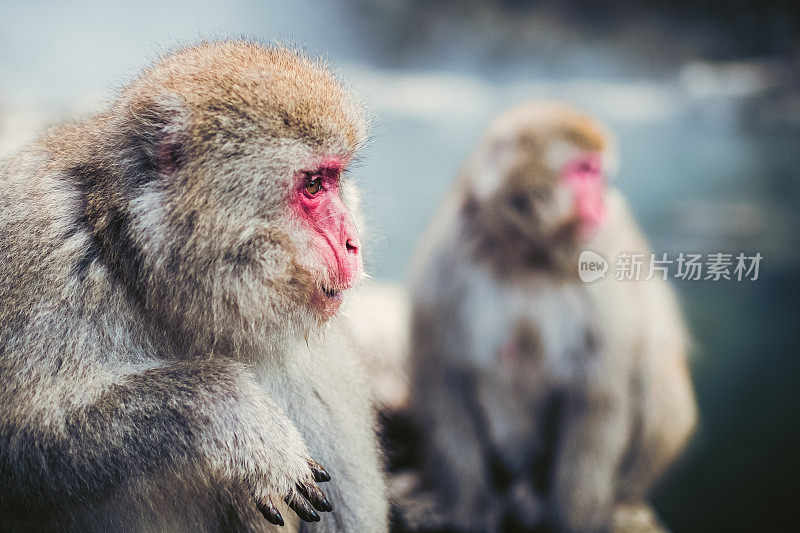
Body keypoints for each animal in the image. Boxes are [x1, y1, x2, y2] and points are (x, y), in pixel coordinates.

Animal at [0, 41, 390, 532]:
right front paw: (231, 409)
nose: (352, 241)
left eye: (335, 180)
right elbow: (19, 447)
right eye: (315, 185)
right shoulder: (40, 249)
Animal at [410, 102, 696, 528]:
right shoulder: (448, 261)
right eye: (583, 171)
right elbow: (445, 378)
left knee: (653, 362)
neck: (527, 256)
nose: (602, 201)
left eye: (599, 173)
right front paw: (473, 506)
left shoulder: (603, 262)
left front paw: (573, 518)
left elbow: (596, 393)